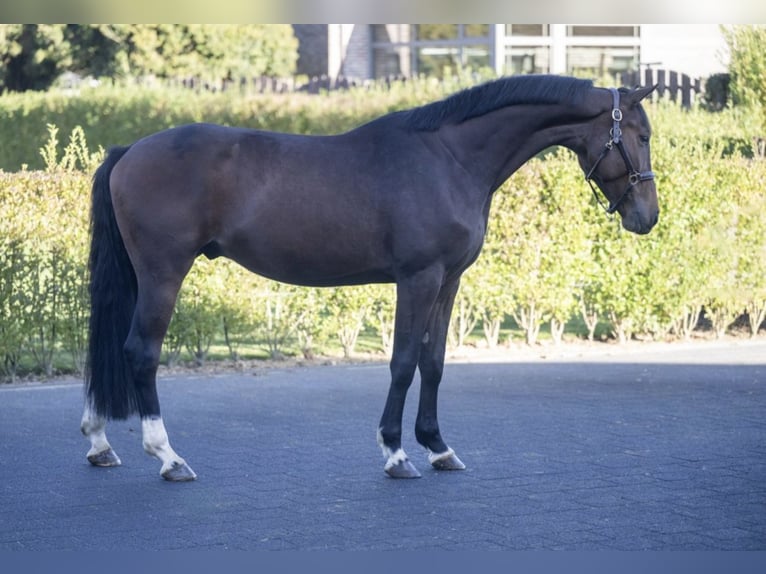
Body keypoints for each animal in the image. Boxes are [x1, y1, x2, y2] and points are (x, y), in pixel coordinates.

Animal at [81, 74, 658, 481]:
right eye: (641, 135)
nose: (647, 216)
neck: (449, 159)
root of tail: (129, 151)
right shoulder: (418, 279)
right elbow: (402, 363)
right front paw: (396, 452)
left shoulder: (448, 282)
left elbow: (434, 363)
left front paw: (438, 447)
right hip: (163, 274)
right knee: (140, 352)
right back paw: (168, 457)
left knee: (109, 348)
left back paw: (99, 443)